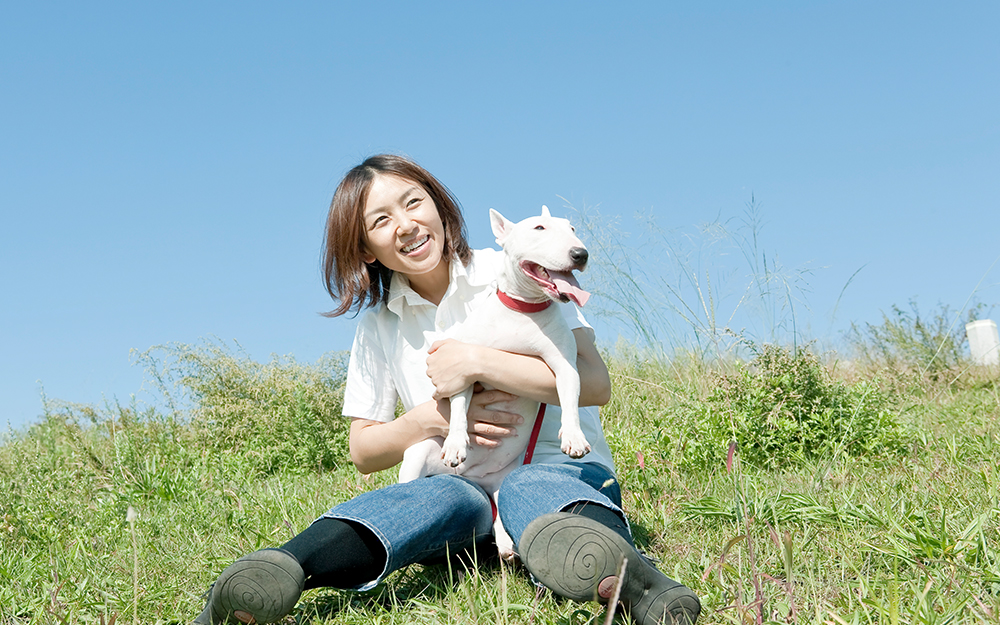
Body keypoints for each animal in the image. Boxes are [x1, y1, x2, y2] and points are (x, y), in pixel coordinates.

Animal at [396, 206, 592, 560]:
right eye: (539, 228)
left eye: (572, 229)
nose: (580, 254)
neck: (522, 310)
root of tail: (475, 479)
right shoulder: (462, 369)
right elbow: (459, 411)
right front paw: (457, 444)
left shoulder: (565, 367)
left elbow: (570, 397)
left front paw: (573, 437)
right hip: (418, 455)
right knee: (409, 481)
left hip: (505, 478)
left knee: (501, 509)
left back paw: (506, 544)